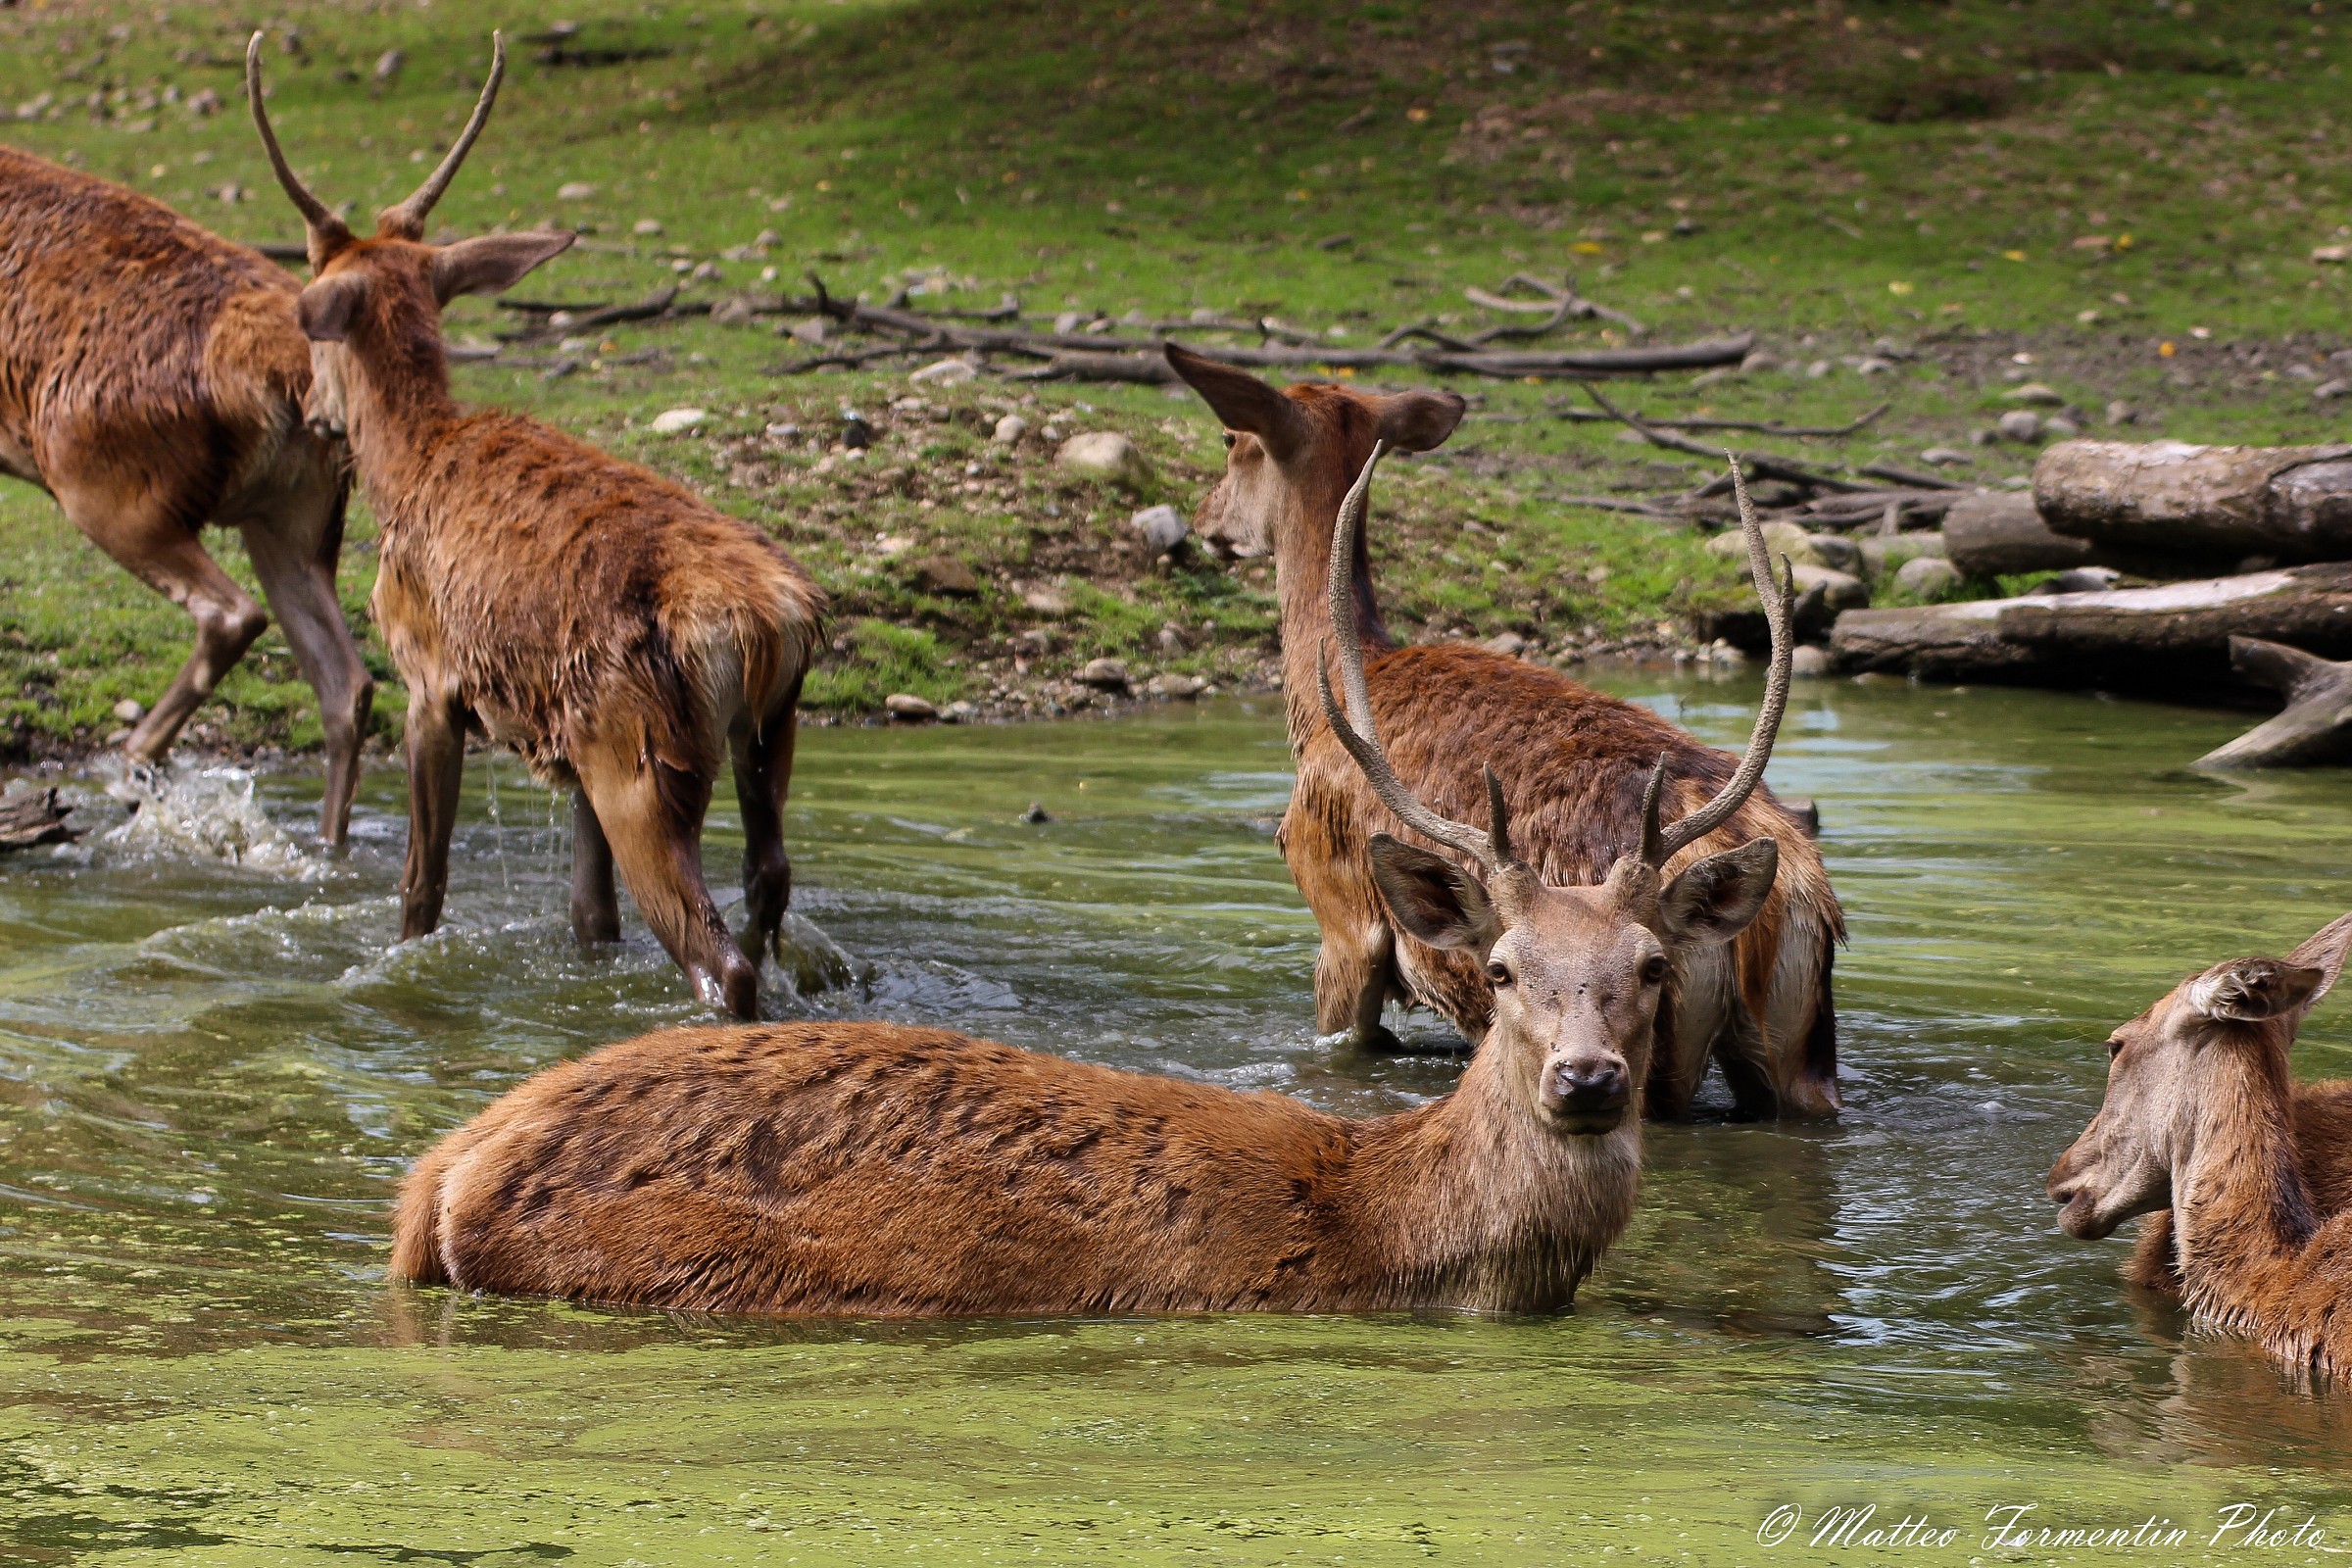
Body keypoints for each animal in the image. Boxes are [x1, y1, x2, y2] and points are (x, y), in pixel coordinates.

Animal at [246, 35, 823, 1018]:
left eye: (315, 313)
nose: (316, 413)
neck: (408, 467)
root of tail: (764, 624)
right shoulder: (566, 746)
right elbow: (590, 920)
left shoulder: (430, 680)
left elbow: (422, 889)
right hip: (764, 729)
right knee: (770, 882)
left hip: (642, 755)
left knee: (720, 958)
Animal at [1165, 343, 1843, 1120]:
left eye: (1231, 442)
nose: (1204, 518)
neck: (1320, 696)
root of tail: (1789, 896)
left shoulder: (1339, 914)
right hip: (1800, 1042)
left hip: (1650, 1045)